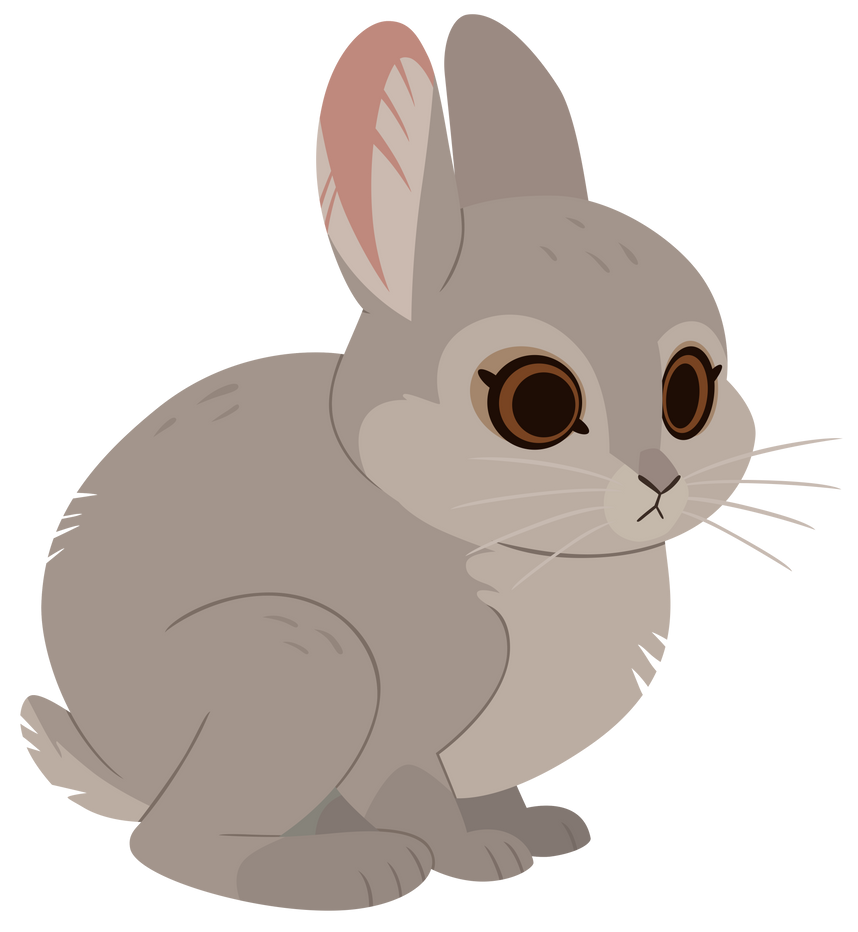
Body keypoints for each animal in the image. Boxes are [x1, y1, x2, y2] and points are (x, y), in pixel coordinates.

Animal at [19, 12, 845, 913]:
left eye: (689, 390)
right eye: (538, 404)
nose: (661, 480)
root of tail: (107, 751)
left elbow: (490, 794)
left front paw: (538, 831)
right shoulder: (401, 735)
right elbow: (420, 797)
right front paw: (480, 857)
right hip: (307, 668)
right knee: (172, 843)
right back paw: (354, 870)